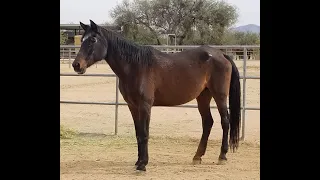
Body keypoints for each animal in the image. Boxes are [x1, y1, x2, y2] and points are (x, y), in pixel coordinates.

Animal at [70, 19, 240, 172]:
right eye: (82, 40)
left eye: (93, 39)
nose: (76, 65)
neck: (136, 66)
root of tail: (222, 54)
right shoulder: (133, 106)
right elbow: (138, 134)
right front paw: (138, 162)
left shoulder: (145, 106)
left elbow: (145, 133)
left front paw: (143, 164)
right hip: (203, 96)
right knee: (207, 122)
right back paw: (197, 157)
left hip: (219, 96)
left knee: (225, 121)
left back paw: (222, 156)